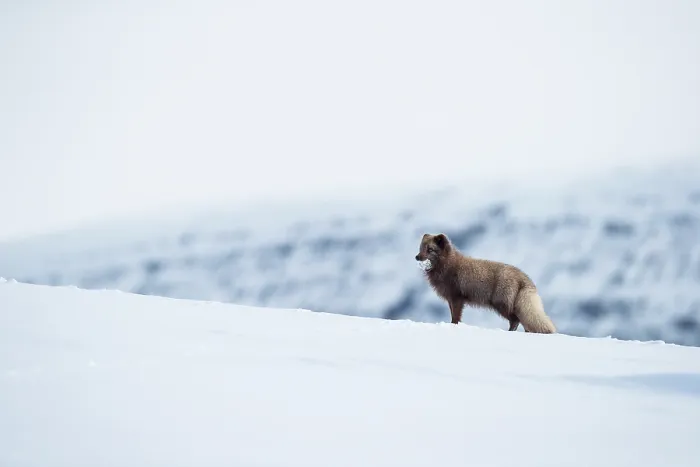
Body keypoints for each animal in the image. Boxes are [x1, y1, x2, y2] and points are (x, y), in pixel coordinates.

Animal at [415, 233, 556, 333]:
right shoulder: (450, 299)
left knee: (516, 320)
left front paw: (454, 326)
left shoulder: (456, 298)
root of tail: (524, 277)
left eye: (430, 249)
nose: (417, 257)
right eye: (421, 248)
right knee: (523, 321)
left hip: (501, 304)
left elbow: (455, 317)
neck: (447, 265)